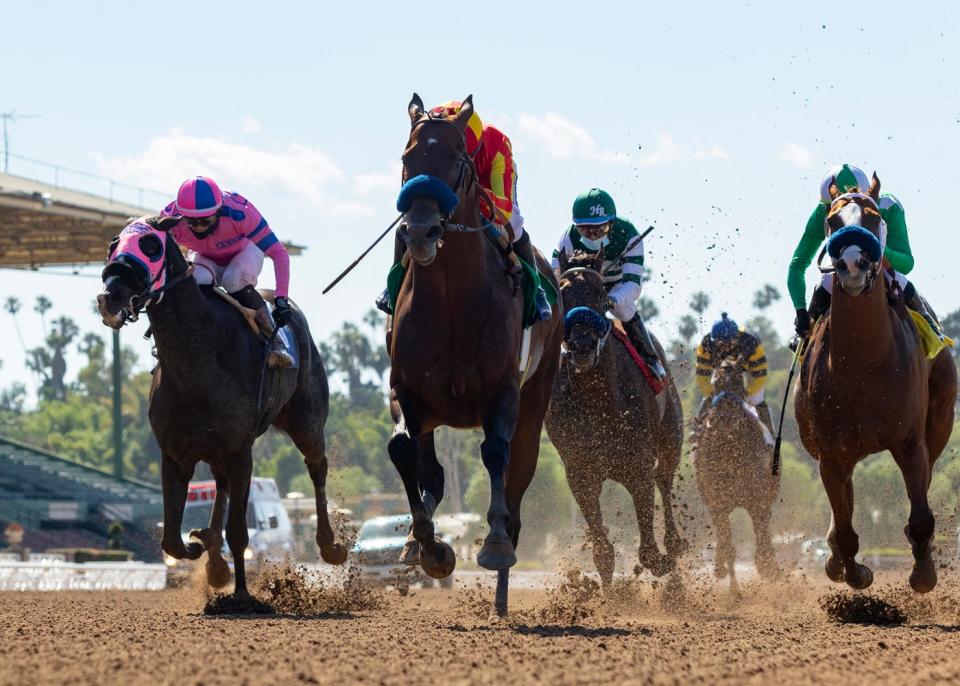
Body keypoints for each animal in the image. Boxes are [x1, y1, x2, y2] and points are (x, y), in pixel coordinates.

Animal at [94, 216, 346, 600]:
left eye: (151, 245)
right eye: (112, 244)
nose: (110, 297)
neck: (197, 360)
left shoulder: (241, 451)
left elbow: (239, 533)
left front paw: (242, 595)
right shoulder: (175, 454)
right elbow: (171, 539)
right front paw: (201, 544)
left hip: (307, 422)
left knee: (317, 467)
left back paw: (330, 545)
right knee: (222, 486)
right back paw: (213, 559)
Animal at [386, 92, 564, 620]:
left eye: (456, 161)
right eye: (408, 158)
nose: (421, 231)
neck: (450, 302)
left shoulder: (502, 393)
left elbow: (495, 456)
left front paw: (494, 545)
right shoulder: (409, 394)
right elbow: (406, 453)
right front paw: (430, 548)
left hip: (536, 400)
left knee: (517, 482)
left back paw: (500, 597)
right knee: (431, 471)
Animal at [544, 250, 688, 588]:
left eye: (600, 293)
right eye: (562, 292)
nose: (582, 345)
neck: (597, 399)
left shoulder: (638, 465)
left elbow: (649, 552)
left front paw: (663, 563)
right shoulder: (580, 472)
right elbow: (603, 553)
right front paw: (610, 595)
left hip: (671, 434)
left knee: (664, 479)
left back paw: (674, 547)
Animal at [692, 360, 784, 592]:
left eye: (737, 382)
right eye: (715, 383)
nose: (726, 417)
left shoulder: (757, 499)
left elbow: (761, 536)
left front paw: (769, 569)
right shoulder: (717, 501)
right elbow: (727, 544)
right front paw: (731, 587)